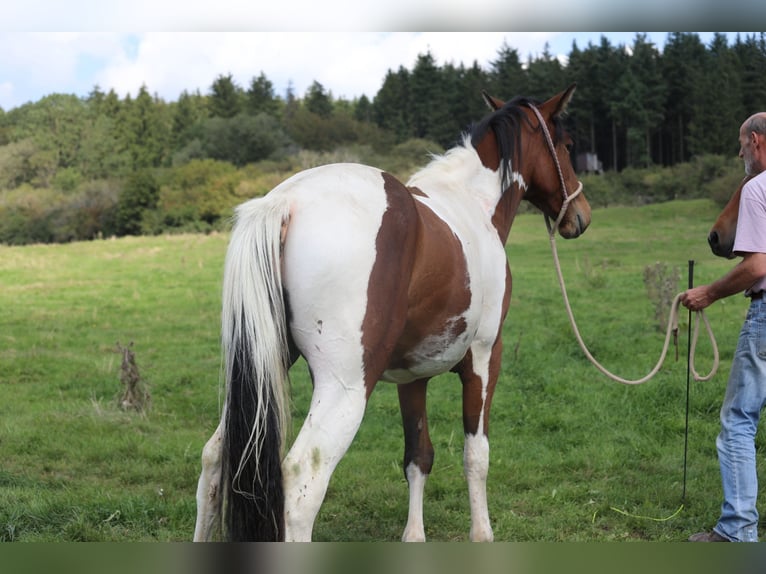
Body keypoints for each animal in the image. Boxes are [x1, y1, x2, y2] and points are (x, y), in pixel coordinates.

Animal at [193, 85, 591, 542]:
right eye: (567, 144)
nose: (581, 215)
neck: (472, 207)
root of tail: (285, 201)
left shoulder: (412, 377)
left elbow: (418, 456)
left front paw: (414, 535)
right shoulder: (485, 356)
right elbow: (476, 454)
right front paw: (482, 535)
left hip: (259, 374)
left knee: (214, 461)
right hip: (345, 389)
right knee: (301, 481)